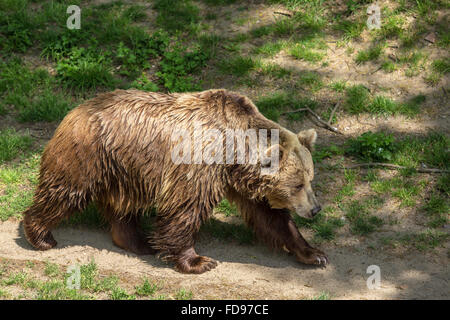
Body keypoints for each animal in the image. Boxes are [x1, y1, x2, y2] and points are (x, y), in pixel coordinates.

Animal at [22, 89, 326, 274]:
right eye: (298, 184)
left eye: (310, 179)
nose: (315, 209)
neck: (233, 152)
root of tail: (74, 110)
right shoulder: (201, 164)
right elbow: (186, 209)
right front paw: (198, 261)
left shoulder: (236, 178)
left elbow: (270, 216)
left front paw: (313, 253)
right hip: (88, 154)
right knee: (66, 191)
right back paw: (41, 235)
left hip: (124, 168)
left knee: (122, 205)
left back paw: (137, 241)